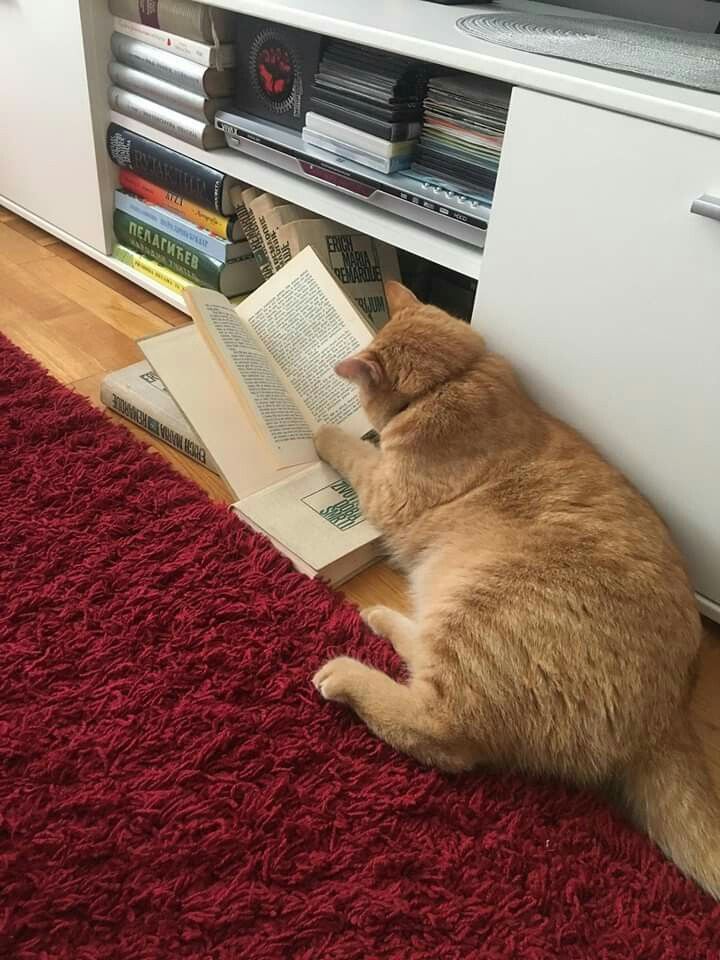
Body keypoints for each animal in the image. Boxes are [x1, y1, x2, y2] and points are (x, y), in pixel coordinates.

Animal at [312, 282, 716, 896]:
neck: (455, 378)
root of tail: (667, 718)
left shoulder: (385, 488)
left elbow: (351, 448)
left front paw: (320, 429)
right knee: (422, 660)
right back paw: (382, 619)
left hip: (475, 612)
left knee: (441, 731)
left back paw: (346, 673)